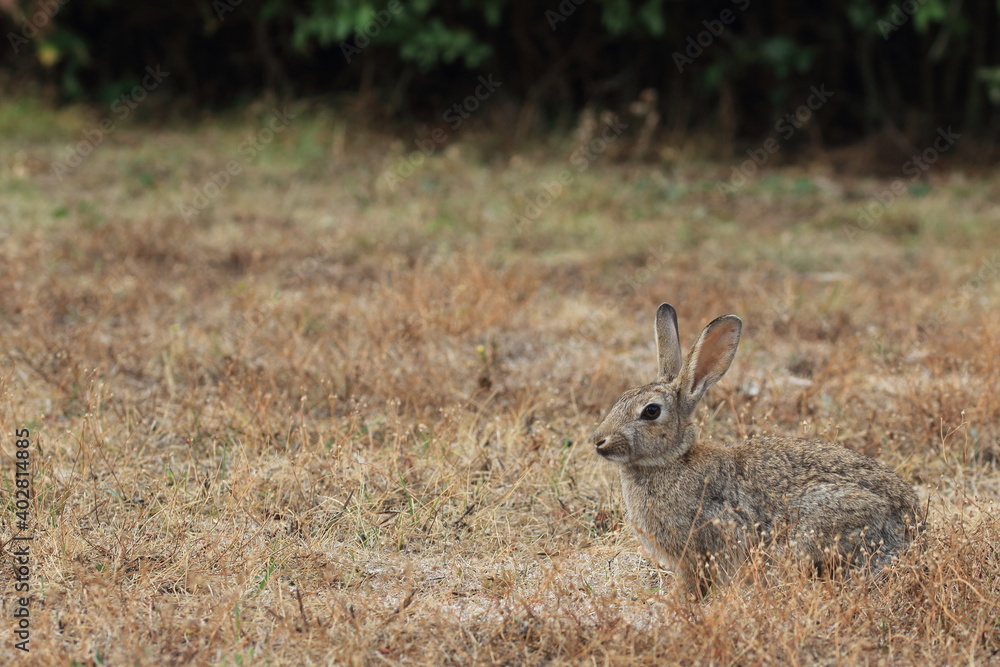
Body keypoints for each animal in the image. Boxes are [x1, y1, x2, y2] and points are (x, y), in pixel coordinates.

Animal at [592, 303, 922, 595]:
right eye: (621, 397)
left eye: (651, 411)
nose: (599, 440)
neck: (671, 460)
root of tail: (913, 531)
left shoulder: (701, 548)